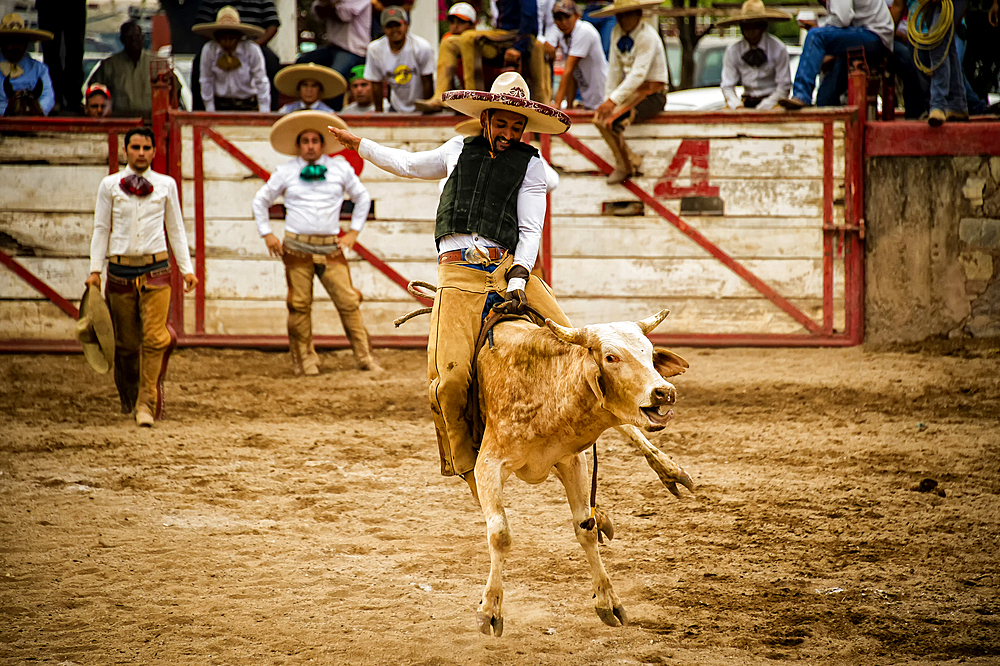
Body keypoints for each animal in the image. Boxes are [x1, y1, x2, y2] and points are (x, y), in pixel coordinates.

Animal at [472, 308, 692, 636]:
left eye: (651, 353)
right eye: (611, 357)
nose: (664, 392)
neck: (544, 386)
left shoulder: (572, 460)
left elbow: (583, 529)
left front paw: (607, 601)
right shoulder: (487, 464)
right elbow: (499, 534)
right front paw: (490, 609)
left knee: (628, 427)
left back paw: (669, 471)